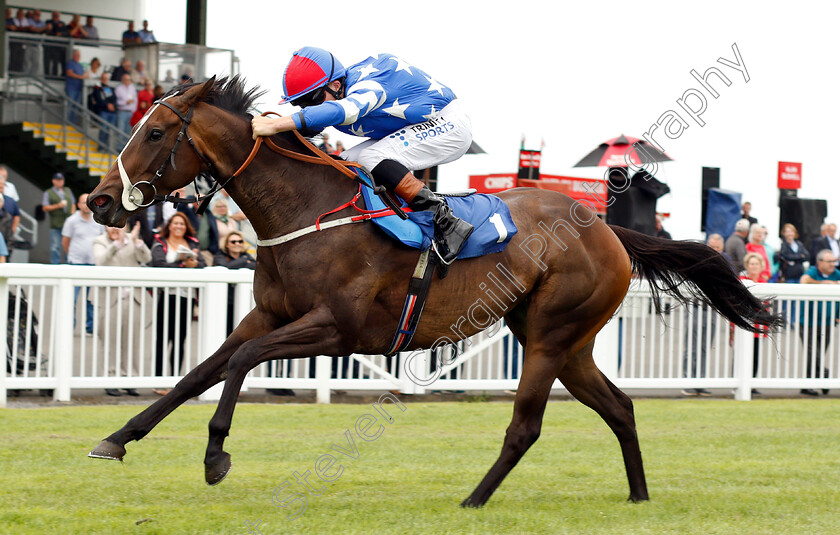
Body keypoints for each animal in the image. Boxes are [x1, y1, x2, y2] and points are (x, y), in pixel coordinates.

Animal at [85, 75, 780, 506]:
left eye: (154, 133)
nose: (98, 201)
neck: (306, 209)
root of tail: (606, 227)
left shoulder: (335, 329)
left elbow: (241, 365)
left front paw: (215, 455)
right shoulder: (267, 315)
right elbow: (199, 372)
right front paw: (117, 439)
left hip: (551, 337)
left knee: (526, 426)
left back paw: (473, 499)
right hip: (566, 342)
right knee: (620, 408)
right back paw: (637, 494)